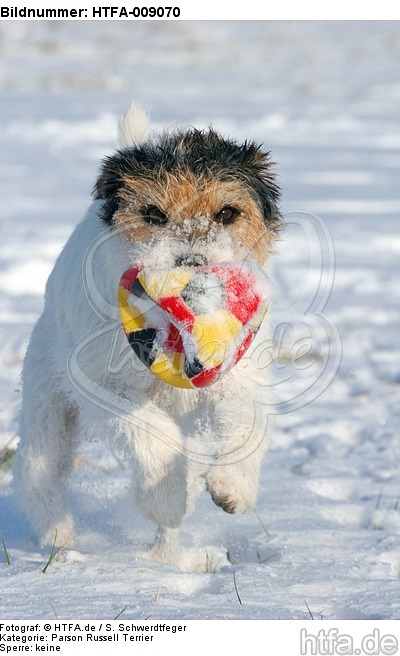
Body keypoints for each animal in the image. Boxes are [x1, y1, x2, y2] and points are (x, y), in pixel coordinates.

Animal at [12, 102, 282, 568]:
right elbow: (150, 432)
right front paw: (165, 501)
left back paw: (168, 556)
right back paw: (60, 541)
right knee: (40, 475)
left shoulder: (239, 374)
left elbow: (247, 418)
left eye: (227, 213)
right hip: (47, 411)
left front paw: (232, 487)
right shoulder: (101, 384)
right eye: (153, 214)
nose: (192, 266)